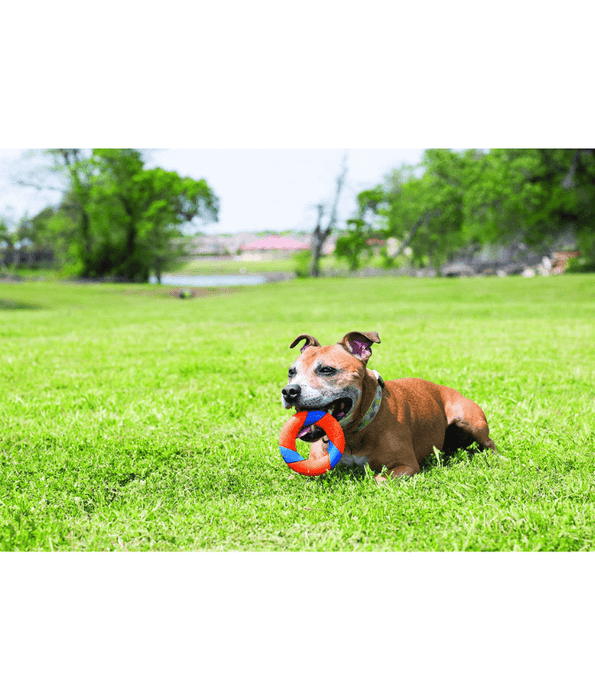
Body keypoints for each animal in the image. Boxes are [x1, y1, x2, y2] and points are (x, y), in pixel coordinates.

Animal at [282, 332, 496, 482]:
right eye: (291, 372)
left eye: (327, 370)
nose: (289, 391)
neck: (353, 433)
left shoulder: (406, 465)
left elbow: (380, 479)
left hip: (470, 420)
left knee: (489, 443)